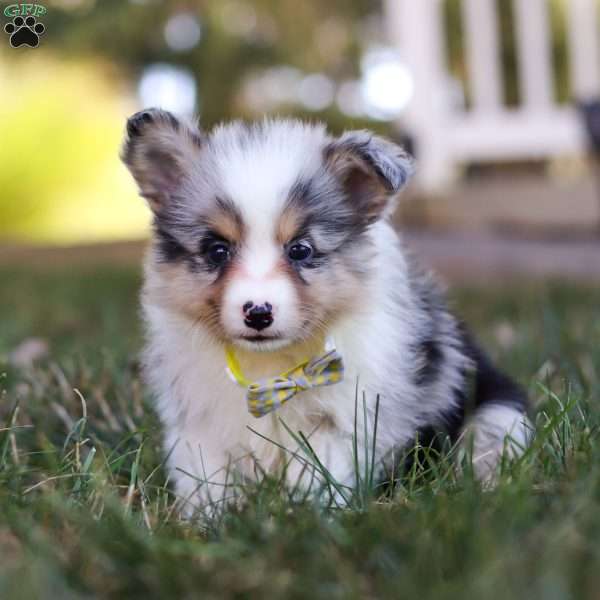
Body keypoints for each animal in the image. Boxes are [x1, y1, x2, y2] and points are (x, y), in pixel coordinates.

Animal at [120, 109, 528, 516]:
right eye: (217, 250)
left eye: (300, 250)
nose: (258, 313)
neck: (270, 367)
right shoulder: (199, 423)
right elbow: (207, 479)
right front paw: (207, 521)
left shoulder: (338, 423)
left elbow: (313, 473)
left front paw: (302, 515)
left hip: (497, 411)